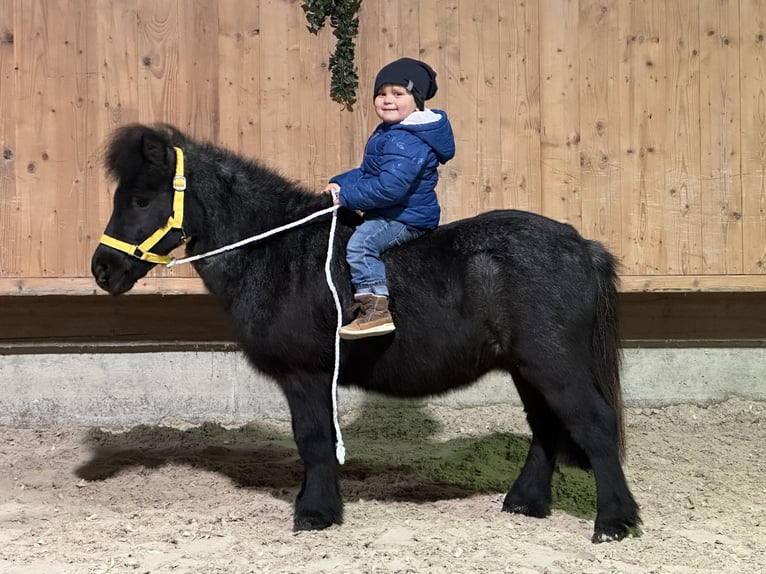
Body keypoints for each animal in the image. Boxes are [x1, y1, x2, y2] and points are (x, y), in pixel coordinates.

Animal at [90, 125, 640, 544]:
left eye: (141, 198)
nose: (102, 269)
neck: (279, 255)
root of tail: (582, 245)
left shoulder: (305, 374)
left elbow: (314, 440)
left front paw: (315, 513)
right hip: (528, 367)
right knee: (547, 428)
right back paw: (525, 503)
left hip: (554, 363)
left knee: (594, 425)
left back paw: (614, 522)